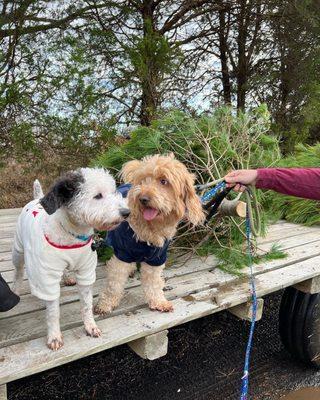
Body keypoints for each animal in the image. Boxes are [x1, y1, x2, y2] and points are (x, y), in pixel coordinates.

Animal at [12, 168, 130, 350]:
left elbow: (87, 305)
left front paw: (90, 326)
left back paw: (67, 277)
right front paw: (54, 336)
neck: (72, 235)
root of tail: (35, 198)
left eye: (113, 191)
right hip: (18, 251)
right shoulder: (47, 276)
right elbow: (53, 312)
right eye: (98, 196)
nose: (126, 213)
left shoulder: (86, 272)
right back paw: (16, 290)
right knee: (18, 272)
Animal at [95, 155, 205, 314]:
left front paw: (158, 301)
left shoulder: (157, 258)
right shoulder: (122, 254)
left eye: (164, 181)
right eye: (142, 181)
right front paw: (106, 303)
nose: (143, 198)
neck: (150, 229)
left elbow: (153, 283)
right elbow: (114, 284)